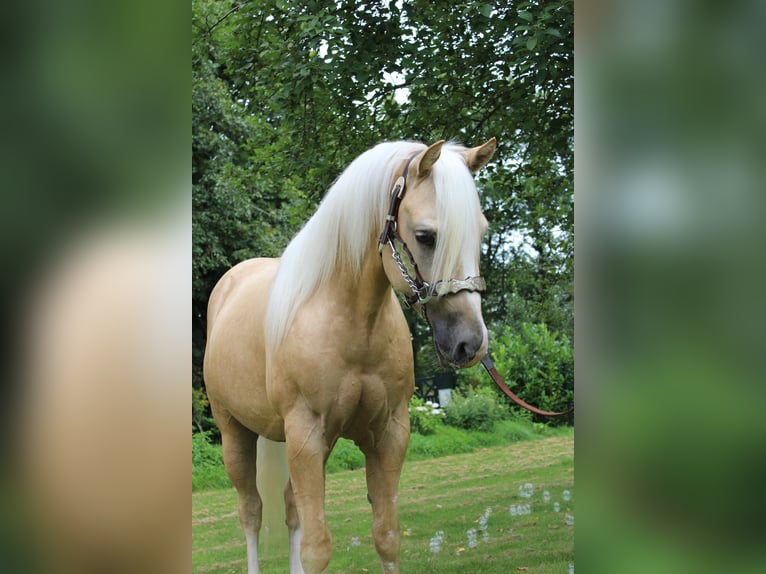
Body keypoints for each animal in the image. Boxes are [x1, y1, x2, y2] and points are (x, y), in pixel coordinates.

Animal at [204, 137, 498, 572]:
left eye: (481, 231)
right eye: (425, 236)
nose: (470, 343)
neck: (351, 322)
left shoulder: (388, 434)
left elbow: (387, 536)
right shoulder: (306, 435)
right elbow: (317, 549)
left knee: (290, 510)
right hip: (235, 434)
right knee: (251, 513)